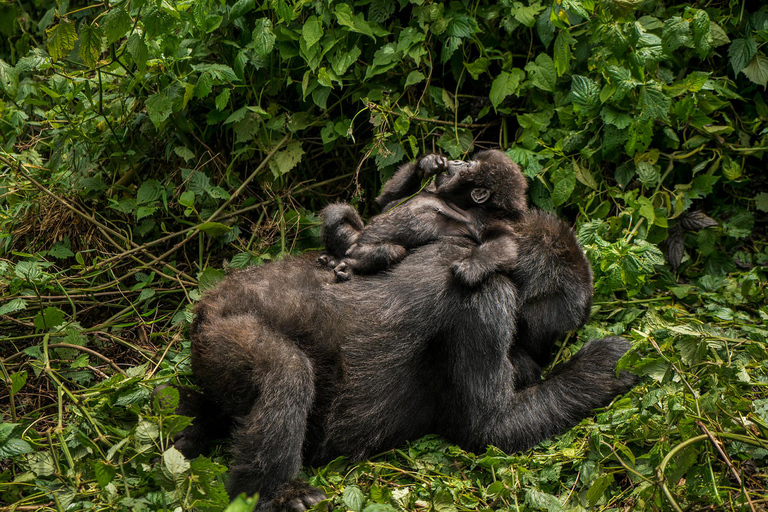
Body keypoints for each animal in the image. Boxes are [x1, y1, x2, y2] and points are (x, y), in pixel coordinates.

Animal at [320, 150, 528, 282]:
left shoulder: (484, 219)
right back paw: (332, 257)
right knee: (338, 214)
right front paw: (428, 162)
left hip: (357, 251)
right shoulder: (434, 187)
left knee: (392, 251)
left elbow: (502, 240)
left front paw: (472, 266)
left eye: (468, 165)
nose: (458, 161)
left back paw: (348, 265)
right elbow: (385, 202)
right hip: (352, 240)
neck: (460, 203)